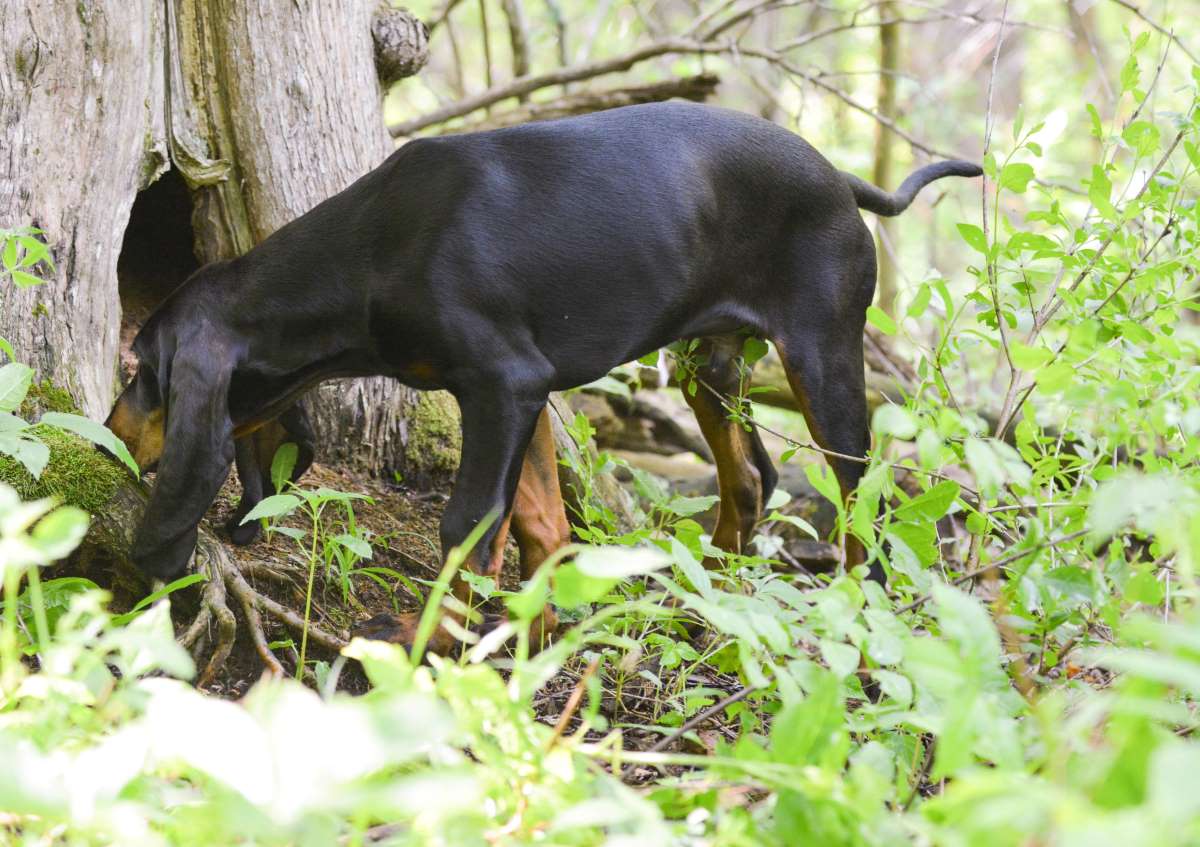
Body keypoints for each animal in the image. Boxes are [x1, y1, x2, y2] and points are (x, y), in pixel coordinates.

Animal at [103, 101, 979, 647]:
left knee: (860, 494)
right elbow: (540, 525)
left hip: (822, 354)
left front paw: (430, 646)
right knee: (748, 479)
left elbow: (466, 528)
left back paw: (858, 616)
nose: (105, 432)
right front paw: (530, 635)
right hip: (711, 365)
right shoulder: (523, 396)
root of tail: (837, 178)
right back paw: (712, 598)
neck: (372, 246)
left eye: (140, 370)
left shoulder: (502, 384)